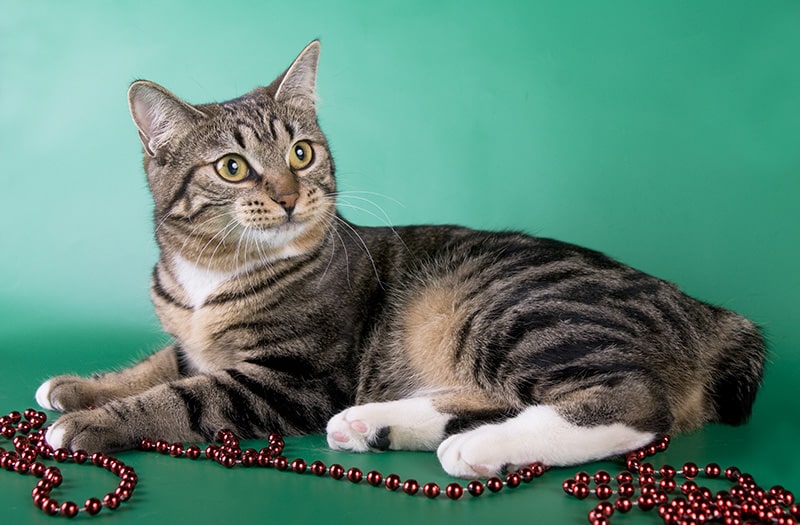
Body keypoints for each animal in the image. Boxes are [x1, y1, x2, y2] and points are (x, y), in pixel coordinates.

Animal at [34, 39, 764, 476]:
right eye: (233, 167)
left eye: (301, 152)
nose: (291, 194)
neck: (207, 277)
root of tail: (710, 314)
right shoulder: (191, 343)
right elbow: (158, 364)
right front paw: (77, 385)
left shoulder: (292, 376)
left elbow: (182, 396)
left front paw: (87, 421)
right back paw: (376, 423)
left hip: (506, 307)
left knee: (633, 404)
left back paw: (477, 447)